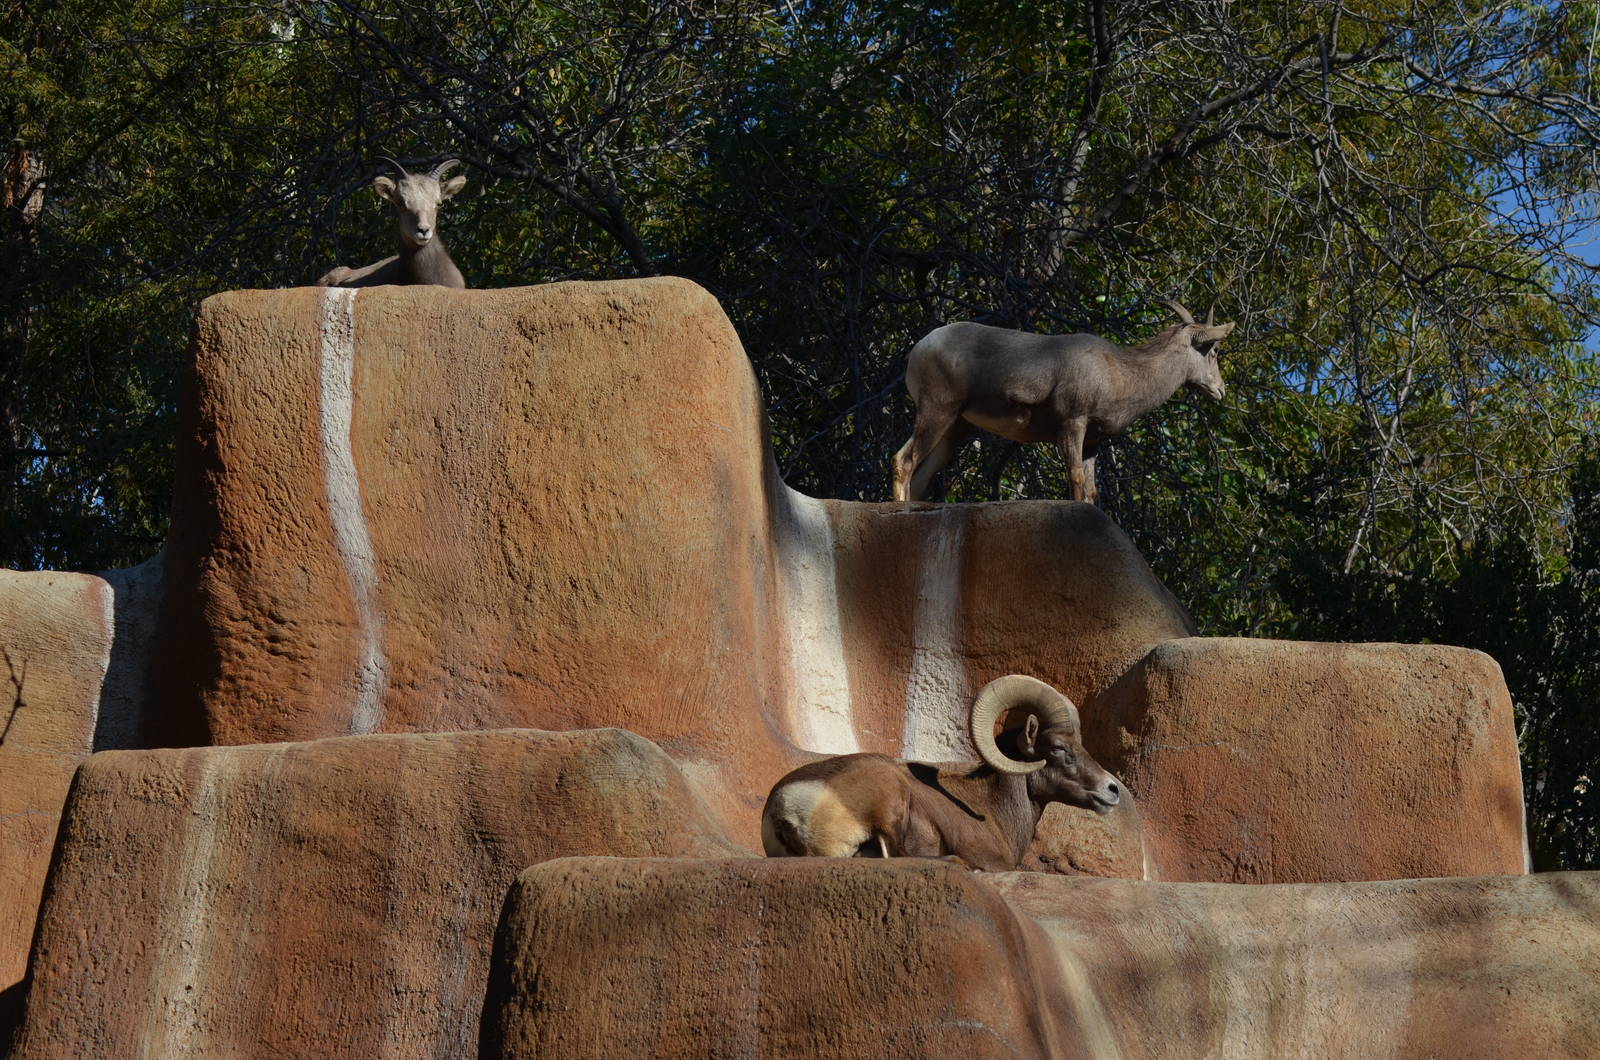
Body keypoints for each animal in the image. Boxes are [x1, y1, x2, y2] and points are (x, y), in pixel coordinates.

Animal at [892, 297, 1234, 504]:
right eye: (1214, 351)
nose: (1220, 390)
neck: (1122, 374)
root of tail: (919, 349)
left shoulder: (1093, 442)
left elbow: (1091, 492)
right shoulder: (1073, 423)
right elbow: (1076, 479)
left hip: (956, 427)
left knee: (919, 478)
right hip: (938, 409)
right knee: (902, 460)